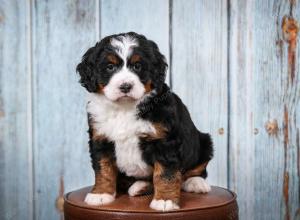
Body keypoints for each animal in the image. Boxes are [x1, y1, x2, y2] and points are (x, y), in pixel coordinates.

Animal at [77, 31, 213, 211]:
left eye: (137, 66)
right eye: (110, 67)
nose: (125, 86)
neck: (125, 108)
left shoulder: (165, 141)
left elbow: (166, 174)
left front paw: (165, 200)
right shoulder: (100, 138)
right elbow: (103, 169)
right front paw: (101, 194)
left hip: (204, 142)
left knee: (195, 170)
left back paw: (196, 183)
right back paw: (139, 186)